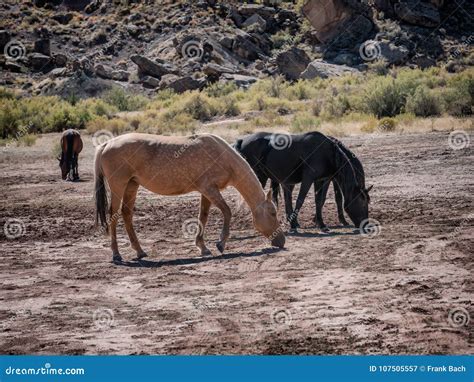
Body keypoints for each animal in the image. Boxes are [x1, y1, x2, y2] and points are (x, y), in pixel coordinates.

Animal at [94, 132, 284, 262]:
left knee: (126, 215)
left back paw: (140, 251)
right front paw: (220, 244)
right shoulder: (209, 189)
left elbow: (203, 216)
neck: (222, 156)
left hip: (131, 186)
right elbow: (227, 212)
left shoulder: (206, 192)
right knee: (113, 215)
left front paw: (203, 247)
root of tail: (107, 143)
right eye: (273, 213)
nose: (282, 241)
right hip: (119, 185)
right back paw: (116, 254)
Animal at [235, 131, 372, 231]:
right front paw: (294, 224)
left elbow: (319, 200)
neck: (326, 153)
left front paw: (321, 224)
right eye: (363, 203)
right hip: (259, 177)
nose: (366, 225)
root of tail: (242, 141)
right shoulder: (308, 179)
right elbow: (300, 200)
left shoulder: (322, 180)